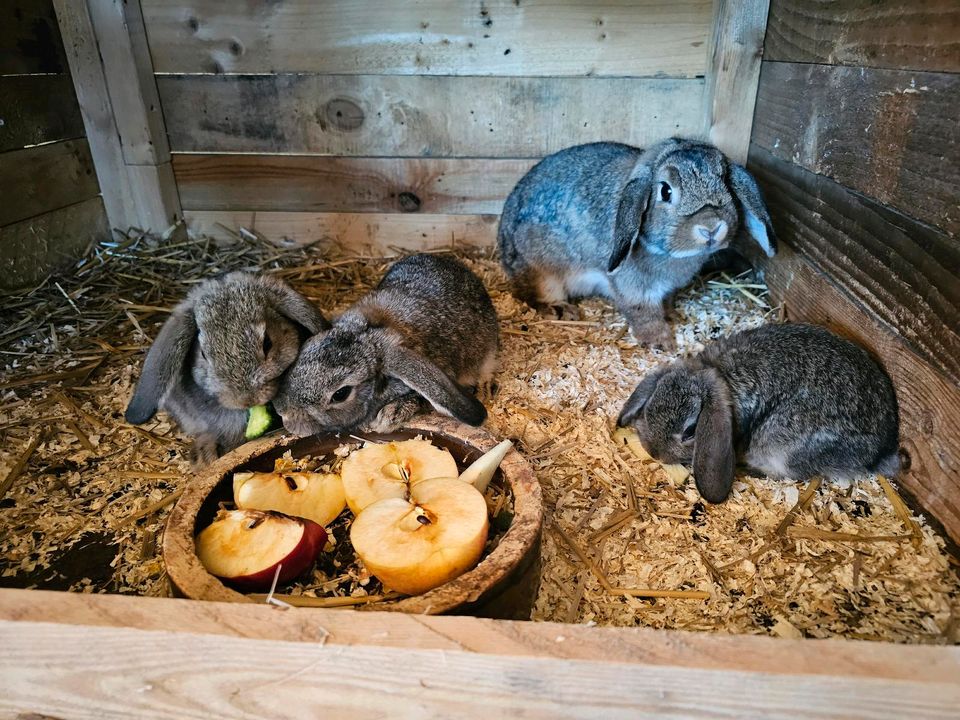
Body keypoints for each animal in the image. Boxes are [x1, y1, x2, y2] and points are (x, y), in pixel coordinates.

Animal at [498, 139, 776, 348]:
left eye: (725, 182)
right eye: (665, 191)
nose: (711, 227)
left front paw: (672, 315)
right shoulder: (632, 287)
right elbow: (643, 313)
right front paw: (662, 342)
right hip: (542, 273)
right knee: (529, 294)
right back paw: (562, 310)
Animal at [616, 324, 900, 504]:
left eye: (689, 431)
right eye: (650, 407)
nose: (654, 452)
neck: (721, 375)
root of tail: (878, 452)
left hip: (782, 446)